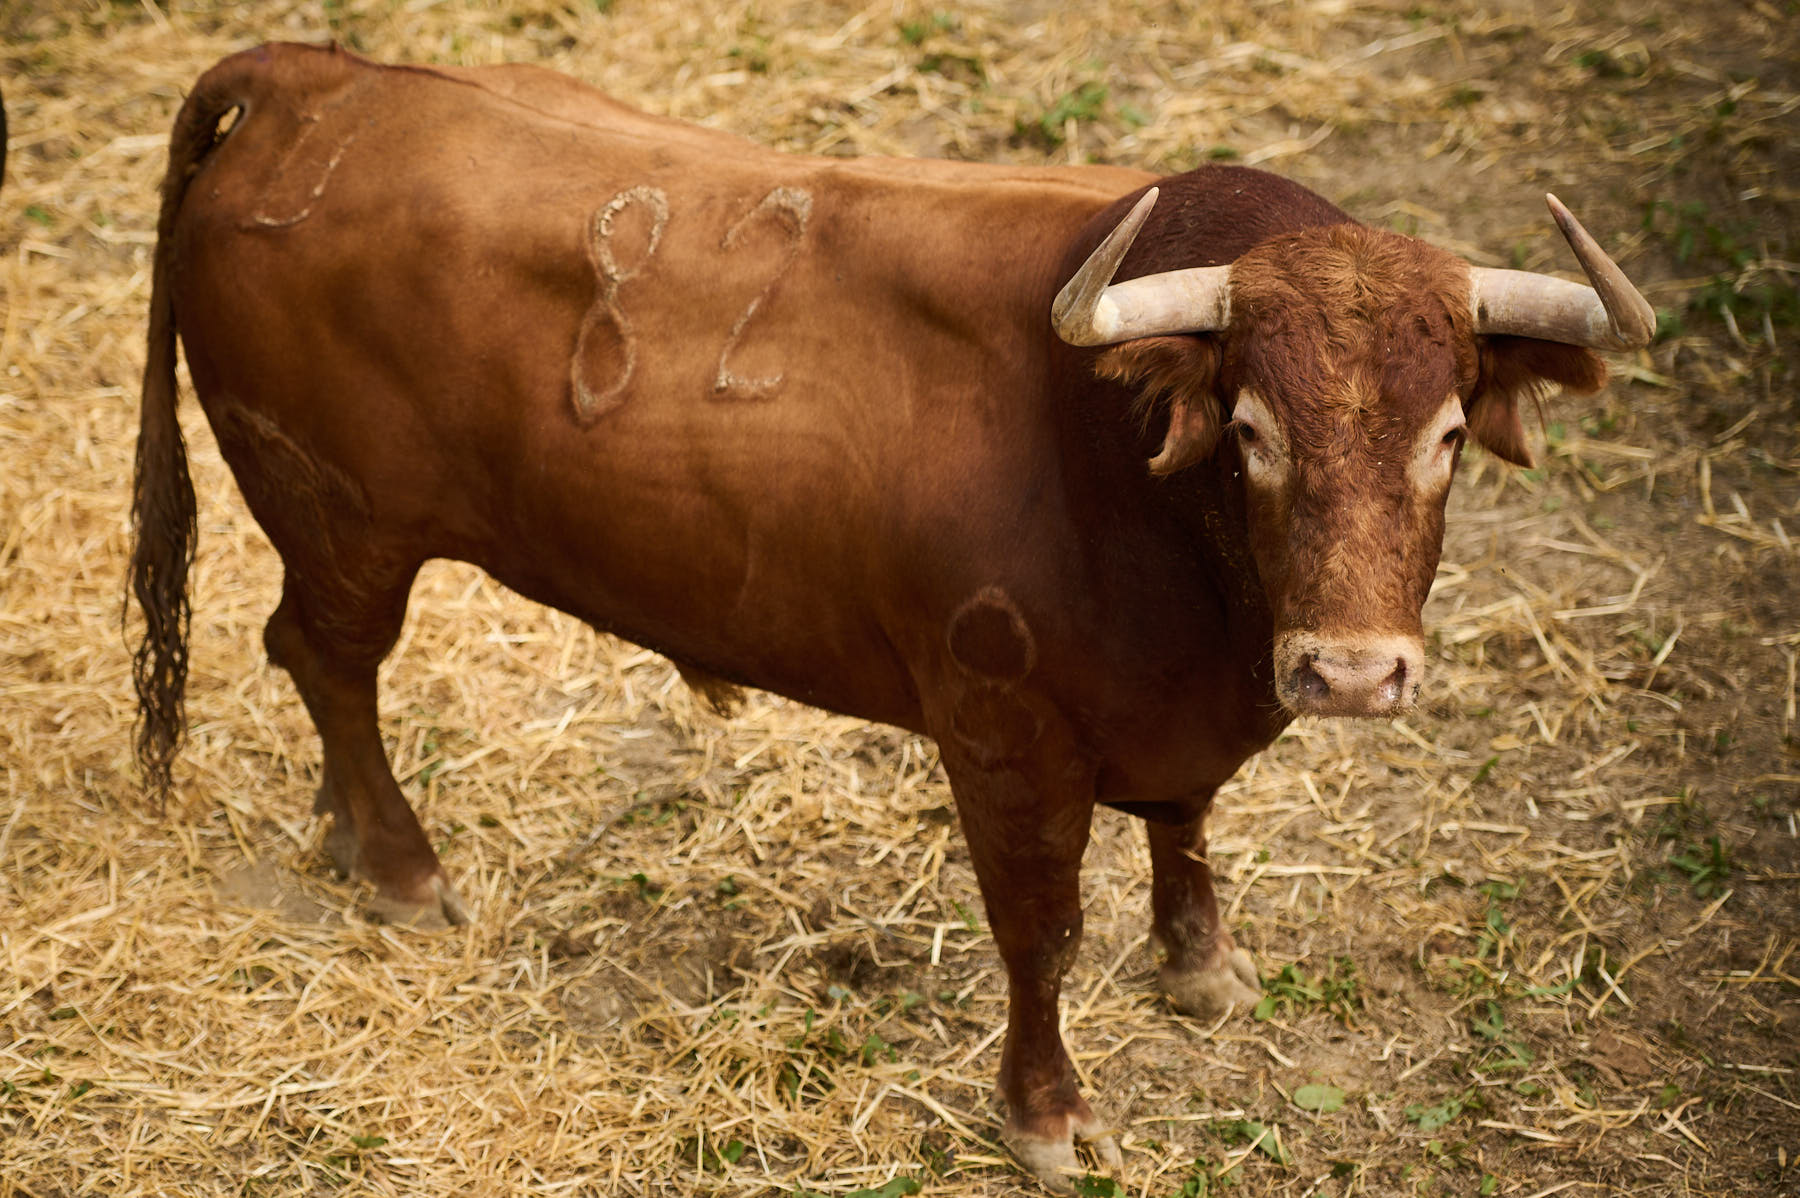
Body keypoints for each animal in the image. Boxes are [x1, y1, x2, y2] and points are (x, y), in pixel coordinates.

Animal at [133, 44, 1648, 1187]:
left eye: (1448, 433)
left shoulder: (1180, 713)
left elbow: (1187, 825)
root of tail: (317, 78)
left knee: (313, 663)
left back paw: (345, 829)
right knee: (328, 659)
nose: (1349, 670)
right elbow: (1041, 928)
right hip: (346, 527)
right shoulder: (1001, 732)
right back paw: (398, 866)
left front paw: (1202, 969)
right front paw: (1048, 1115)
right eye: (1254, 431)